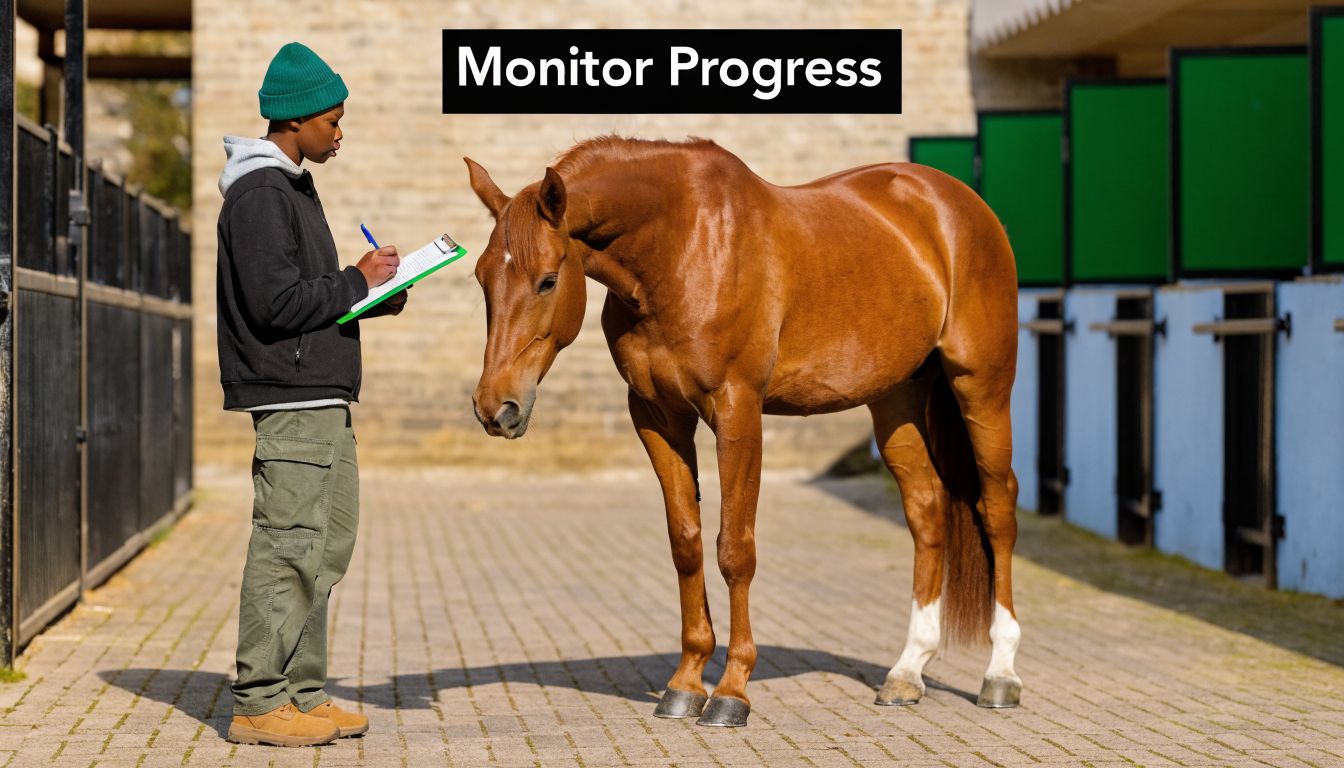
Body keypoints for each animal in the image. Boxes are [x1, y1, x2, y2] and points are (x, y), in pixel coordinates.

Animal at [465, 136, 1021, 727]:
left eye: (548, 279)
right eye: (481, 277)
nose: (495, 407)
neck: (680, 248)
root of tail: (956, 201)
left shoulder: (738, 411)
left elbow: (734, 549)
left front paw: (731, 692)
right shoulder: (657, 417)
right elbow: (685, 544)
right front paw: (686, 684)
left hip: (982, 388)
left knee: (997, 507)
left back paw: (1001, 675)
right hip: (897, 398)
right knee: (927, 513)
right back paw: (907, 672)